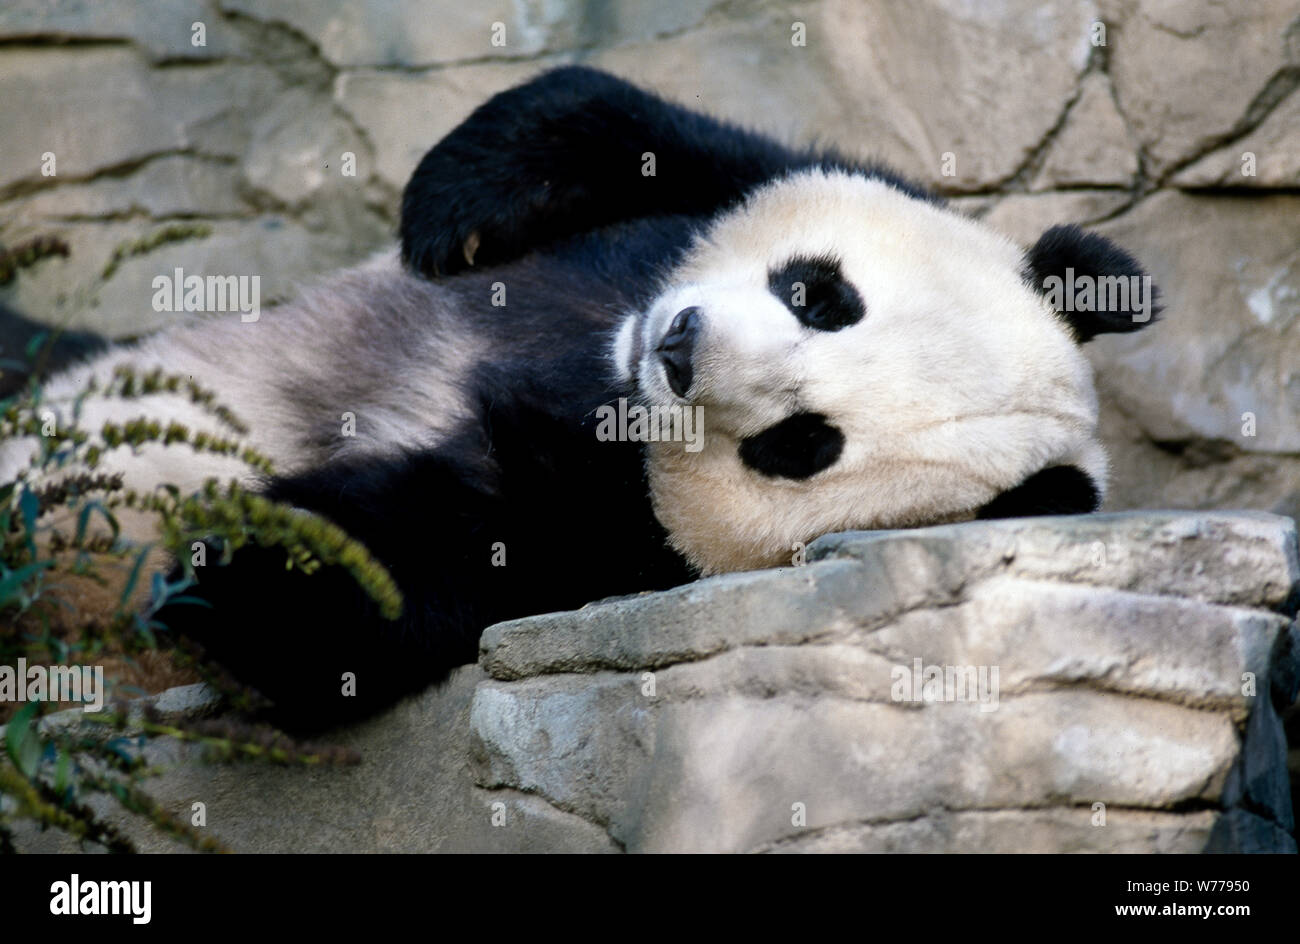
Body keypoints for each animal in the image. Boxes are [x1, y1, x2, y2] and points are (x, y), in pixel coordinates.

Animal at [0, 68, 1159, 733]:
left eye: (800, 444)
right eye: (819, 294)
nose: (679, 349)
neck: (595, 372)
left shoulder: (606, 548)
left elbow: (412, 577)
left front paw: (235, 552)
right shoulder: (731, 183)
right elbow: (625, 124)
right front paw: (451, 207)